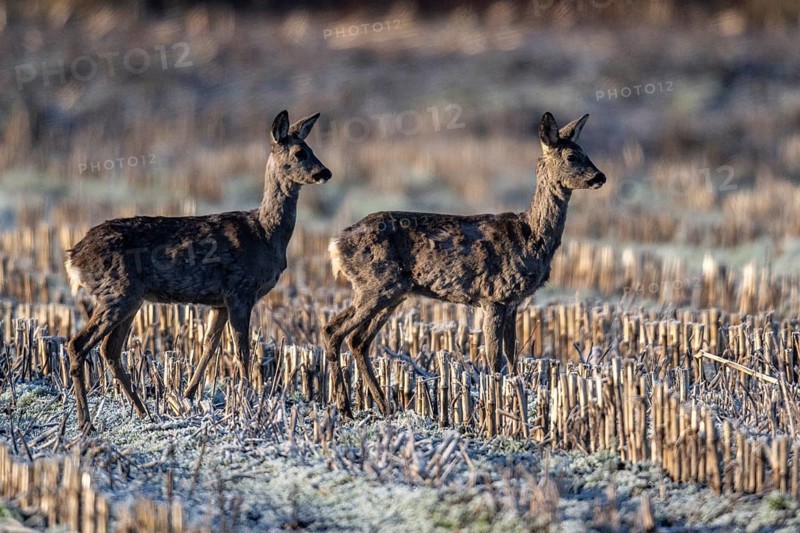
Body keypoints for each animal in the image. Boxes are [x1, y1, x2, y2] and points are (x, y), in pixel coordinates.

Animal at [64, 110, 331, 430]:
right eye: (299, 152)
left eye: (312, 148)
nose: (325, 173)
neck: (266, 234)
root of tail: (74, 257)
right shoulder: (240, 291)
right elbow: (242, 351)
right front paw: (249, 404)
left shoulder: (219, 302)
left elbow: (209, 345)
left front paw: (188, 395)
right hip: (117, 292)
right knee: (78, 344)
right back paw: (86, 423)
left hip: (131, 298)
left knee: (110, 350)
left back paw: (143, 412)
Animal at [323, 112, 606, 417]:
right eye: (571, 157)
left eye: (585, 152)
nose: (600, 176)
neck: (531, 236)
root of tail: (335, 244)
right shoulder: (494, 296)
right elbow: (494, 359)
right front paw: (496, 407)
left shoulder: (513, 303)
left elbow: (512, 355)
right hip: (375, 284)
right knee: (333, 331)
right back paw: (345, 408)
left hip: (393, 292)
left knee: (358, 340)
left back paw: (384, 407)